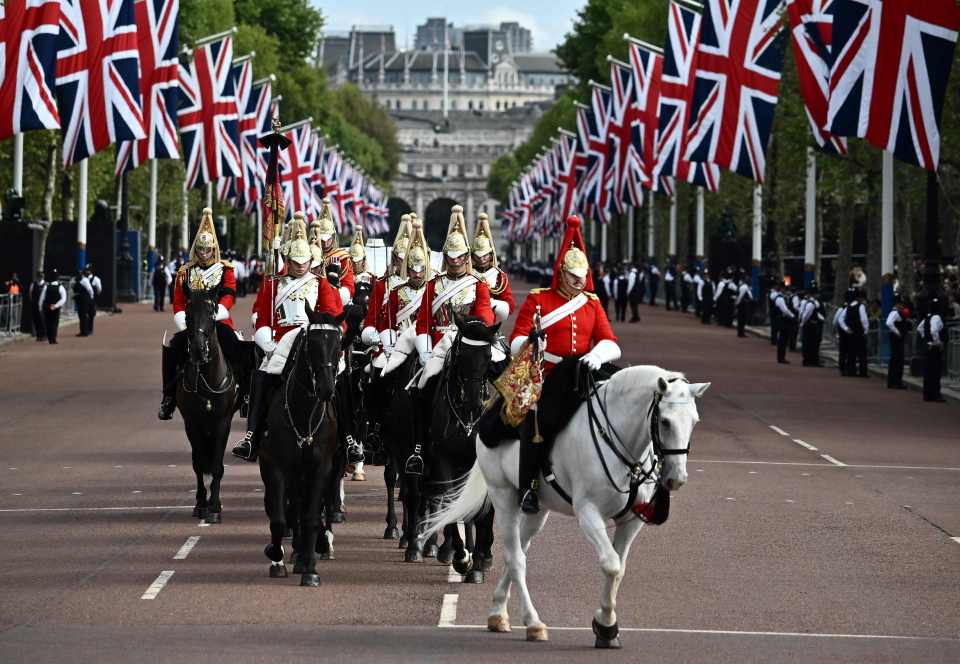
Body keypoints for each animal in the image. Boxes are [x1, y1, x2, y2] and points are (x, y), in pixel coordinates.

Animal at [176, 290, 238, 524]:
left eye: (212, 313)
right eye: (187, 314)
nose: (197, 350)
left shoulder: (223, 422)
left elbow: (217, 465)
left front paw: (214, 507)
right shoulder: (192, 423)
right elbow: (199, 463)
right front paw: (202, 504)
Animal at [258, 308, 344, 584]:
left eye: (338, 345)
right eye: (311, 344)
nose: (326, 388)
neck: (303, 412)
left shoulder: (321, 467)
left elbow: (311, 517)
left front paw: (310, 569)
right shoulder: (275, 465)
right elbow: (279, 518)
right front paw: (276, 556)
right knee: (292, 507)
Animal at [424, 366, 708, 644]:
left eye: (694, 421)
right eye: (665, 421)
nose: (676, 478)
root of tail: (489, 414)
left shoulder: (631, 520)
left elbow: (619, 568)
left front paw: (606, 624)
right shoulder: (588, 512)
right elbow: (611, 564)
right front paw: (606, 626)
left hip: (537, 511)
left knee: (519, 551)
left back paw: (498, 613)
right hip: (503, 496)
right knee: (516, 558)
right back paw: (533, 622)